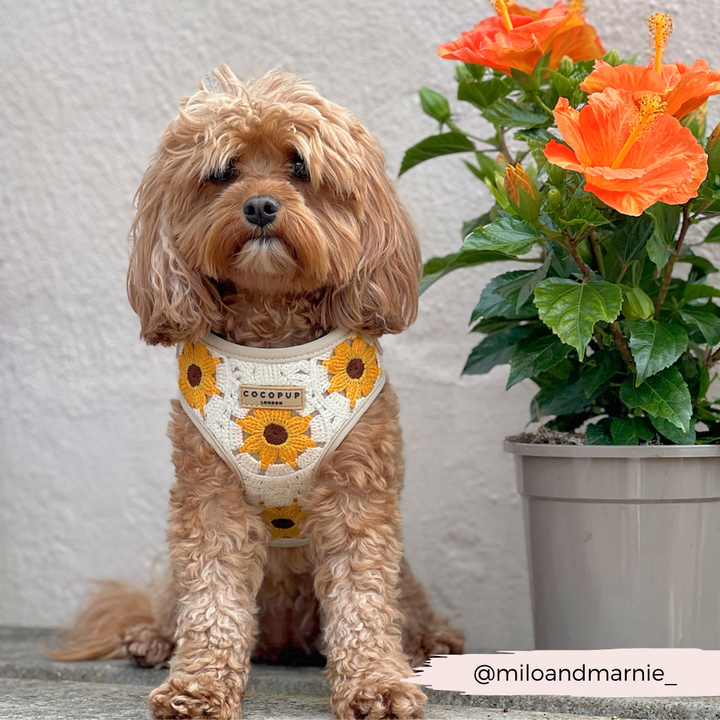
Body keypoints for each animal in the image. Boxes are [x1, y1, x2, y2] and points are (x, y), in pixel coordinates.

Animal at [53, 64, 464, 716]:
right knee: (173, 604)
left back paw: (433, 641)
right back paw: (151, 638)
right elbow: (211, 598)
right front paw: (197, 685)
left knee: (406, 607)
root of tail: (285, 639)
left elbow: (363, 599)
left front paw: (377, 682)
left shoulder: (357, 493)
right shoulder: (209, 493)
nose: (261, 204)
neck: (273, 341)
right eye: (223, 171)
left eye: (300, 166)